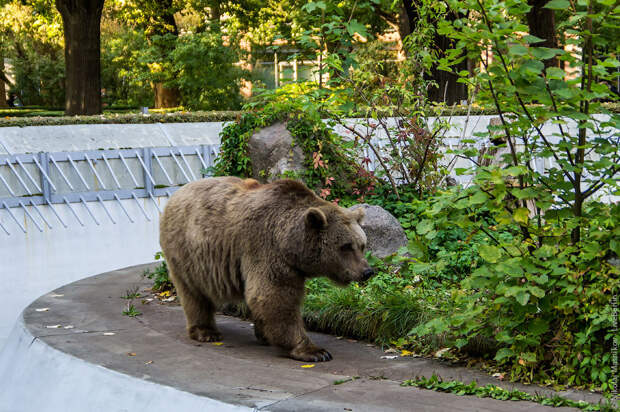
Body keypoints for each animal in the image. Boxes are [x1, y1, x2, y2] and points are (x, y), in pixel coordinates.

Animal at [160, 177, 372, 360]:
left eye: (362, 245)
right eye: (346, 246)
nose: (367, 272)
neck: (289, 244)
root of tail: (176, 193)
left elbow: (262, 297)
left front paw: (265, 335)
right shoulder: (265, 248)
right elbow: (274, 296)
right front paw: (314, 351)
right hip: (185, 252)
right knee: (193, 294)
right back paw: (206, 332)